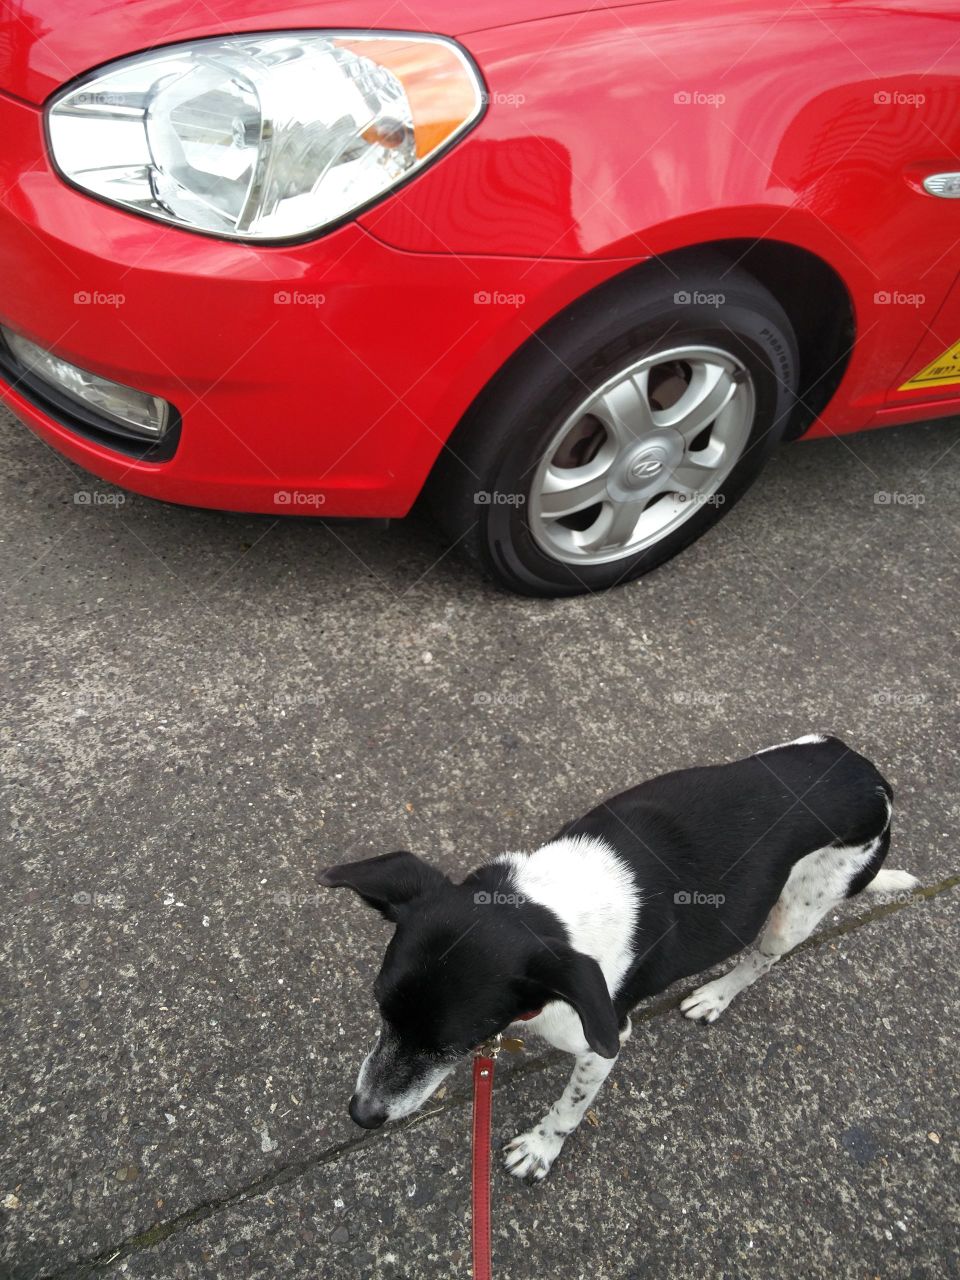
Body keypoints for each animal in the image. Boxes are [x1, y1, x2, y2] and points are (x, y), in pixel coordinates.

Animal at [321, 737, 916, 1182]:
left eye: (455, 1043)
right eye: (380, 1009)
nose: (362, 1115)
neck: (546, 908)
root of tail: (872, 780)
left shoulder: (603, 1041)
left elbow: (570, 1108)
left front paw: (539, 1149)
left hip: (795, 915)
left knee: (760, 961)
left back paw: (715, 996)